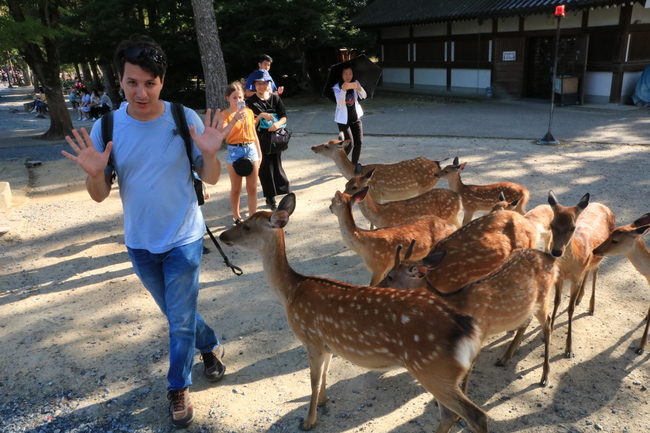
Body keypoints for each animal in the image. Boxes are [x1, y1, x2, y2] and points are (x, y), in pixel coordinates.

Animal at [218, 192, 486, 432]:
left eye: (246, 226)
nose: (221, 236)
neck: (291, 292)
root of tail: (470, 333)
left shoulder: (311, 339)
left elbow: (313, 381)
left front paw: (308, 421)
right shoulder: (327, 344)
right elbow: (325, 374)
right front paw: (324, 401)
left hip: (432, 369)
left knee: (472, 415)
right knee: (454, 414)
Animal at [548, 191, 612, 356]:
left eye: (572, 227)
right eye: (551, 224)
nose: (556, 251)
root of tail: (603, 205)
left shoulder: (575, 279)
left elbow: (570, 309)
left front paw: (569, 349)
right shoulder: (559, 276)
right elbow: (556, 301)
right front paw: (549, 331)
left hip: (600, 255)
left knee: (595, 271)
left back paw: (591, 307)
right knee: (588, 271)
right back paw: (579, 298)